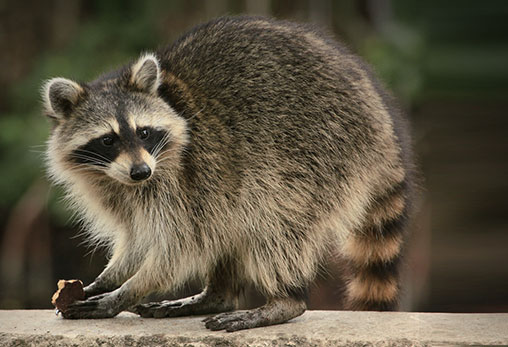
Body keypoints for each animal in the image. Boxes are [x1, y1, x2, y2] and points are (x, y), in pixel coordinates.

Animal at [42, 16, 412, 332]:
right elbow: (137, 238)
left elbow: (176, 247)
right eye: (108, 140)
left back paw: (284, 300)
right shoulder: (120, 189)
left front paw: (125, 293)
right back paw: (217, 296)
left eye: (143, 132)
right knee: (230, 224)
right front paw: (110, 277)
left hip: (321, 153)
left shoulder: (184, 176)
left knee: (274, 221)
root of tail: (382, 120)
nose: (141, 172)